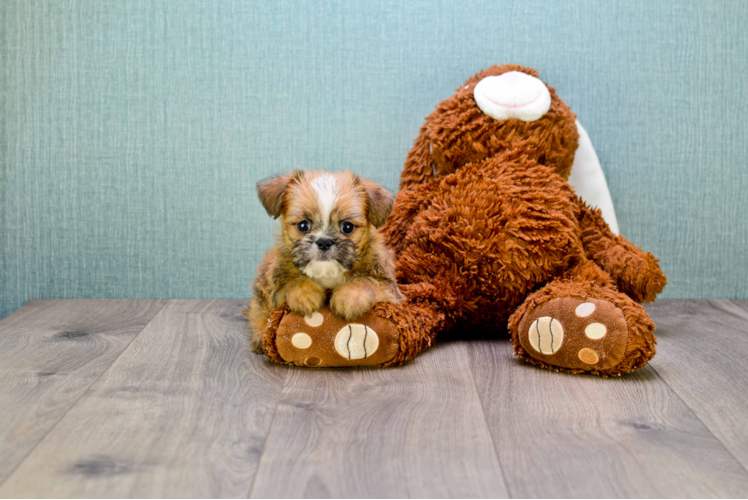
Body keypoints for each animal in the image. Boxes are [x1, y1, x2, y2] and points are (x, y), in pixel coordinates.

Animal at [247, 170, 404, 354]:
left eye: (347, 227)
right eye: (303, 226)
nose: (324, 242)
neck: (327, 273)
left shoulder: (388, 286)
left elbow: (366, 280)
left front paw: (350, 297)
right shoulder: (274, 286)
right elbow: (289, 282)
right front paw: (305, 294)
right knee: (259, 312)